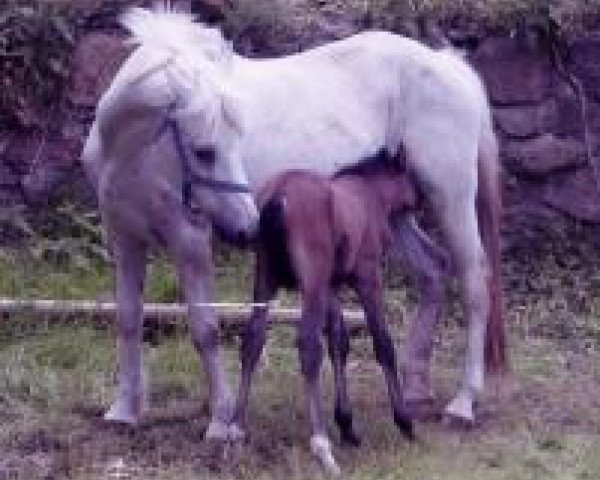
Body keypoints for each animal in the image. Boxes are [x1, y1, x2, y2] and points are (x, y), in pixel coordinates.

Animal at [82, 3, 506, 460]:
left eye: (229, 144)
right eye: (204, 151)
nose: (248, 225)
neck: (131, 151)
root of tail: (447, 65)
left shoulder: (188, 239)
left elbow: (205, 329)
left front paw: (221, 421)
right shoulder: (125, 238)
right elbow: (128, 318)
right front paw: (124, 411)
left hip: (451, 199)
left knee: (474, 281)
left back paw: (463, 402)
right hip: (394, 214)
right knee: (433, 270)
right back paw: (414, 387)